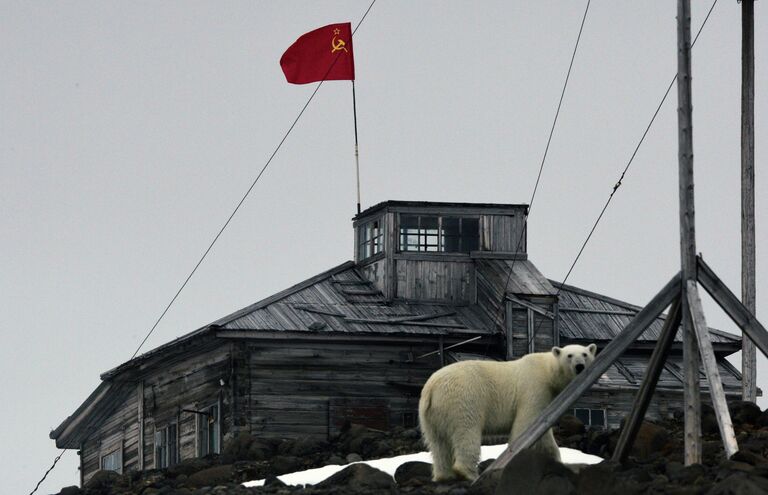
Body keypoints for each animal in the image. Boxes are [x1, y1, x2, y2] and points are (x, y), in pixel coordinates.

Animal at [416, 344, 596, 480]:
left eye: (585, 354)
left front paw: (557, 461)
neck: (547, 370)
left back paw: (443, 475)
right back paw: (468, 474)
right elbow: (525, 423)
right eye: (570, 355)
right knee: (466, 432)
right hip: (463, 399)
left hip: (432, 415)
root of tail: (431, 388)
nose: (580, 366)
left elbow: (545, 435)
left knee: (438, 443)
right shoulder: (535, 388)